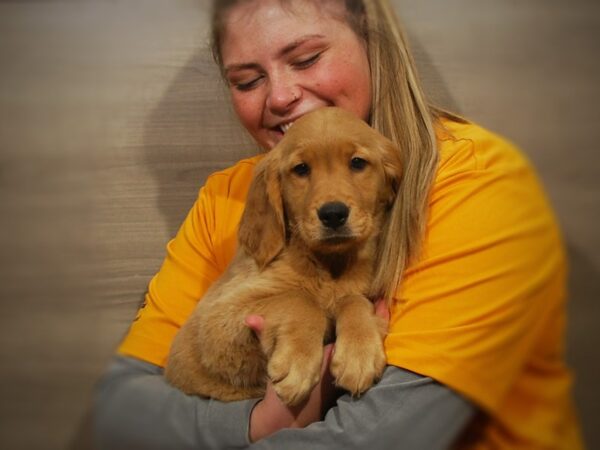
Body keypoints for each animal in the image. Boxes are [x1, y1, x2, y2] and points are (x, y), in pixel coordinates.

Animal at [164, 107, 404, 406]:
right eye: (301, 169)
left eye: (358, 163)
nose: (333, 214)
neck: (329, 265)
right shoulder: (216, 319)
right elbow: (299, 299)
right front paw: (298, 363)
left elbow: (353, 299)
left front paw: (359, 353)